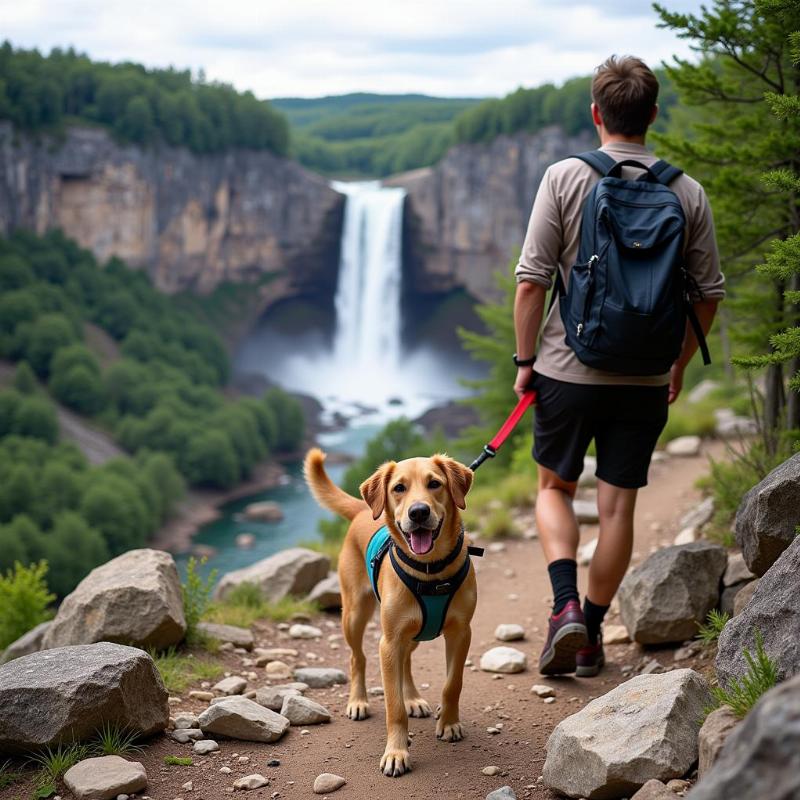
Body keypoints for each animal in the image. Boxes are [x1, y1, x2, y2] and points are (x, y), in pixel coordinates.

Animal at [302, 450, 476, 776]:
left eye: (435, 484)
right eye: (399, 488)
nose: (418, 512)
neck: (431, 570)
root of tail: (363, 510)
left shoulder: (461, 633)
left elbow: (453, 684)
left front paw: (449, 723)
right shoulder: (389, 642)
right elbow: (393, 707)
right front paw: (397, 752)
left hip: (415, 632)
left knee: (406, 661)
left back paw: (413, 699)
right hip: (355, 615)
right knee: (357, 658)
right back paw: (358, 701)